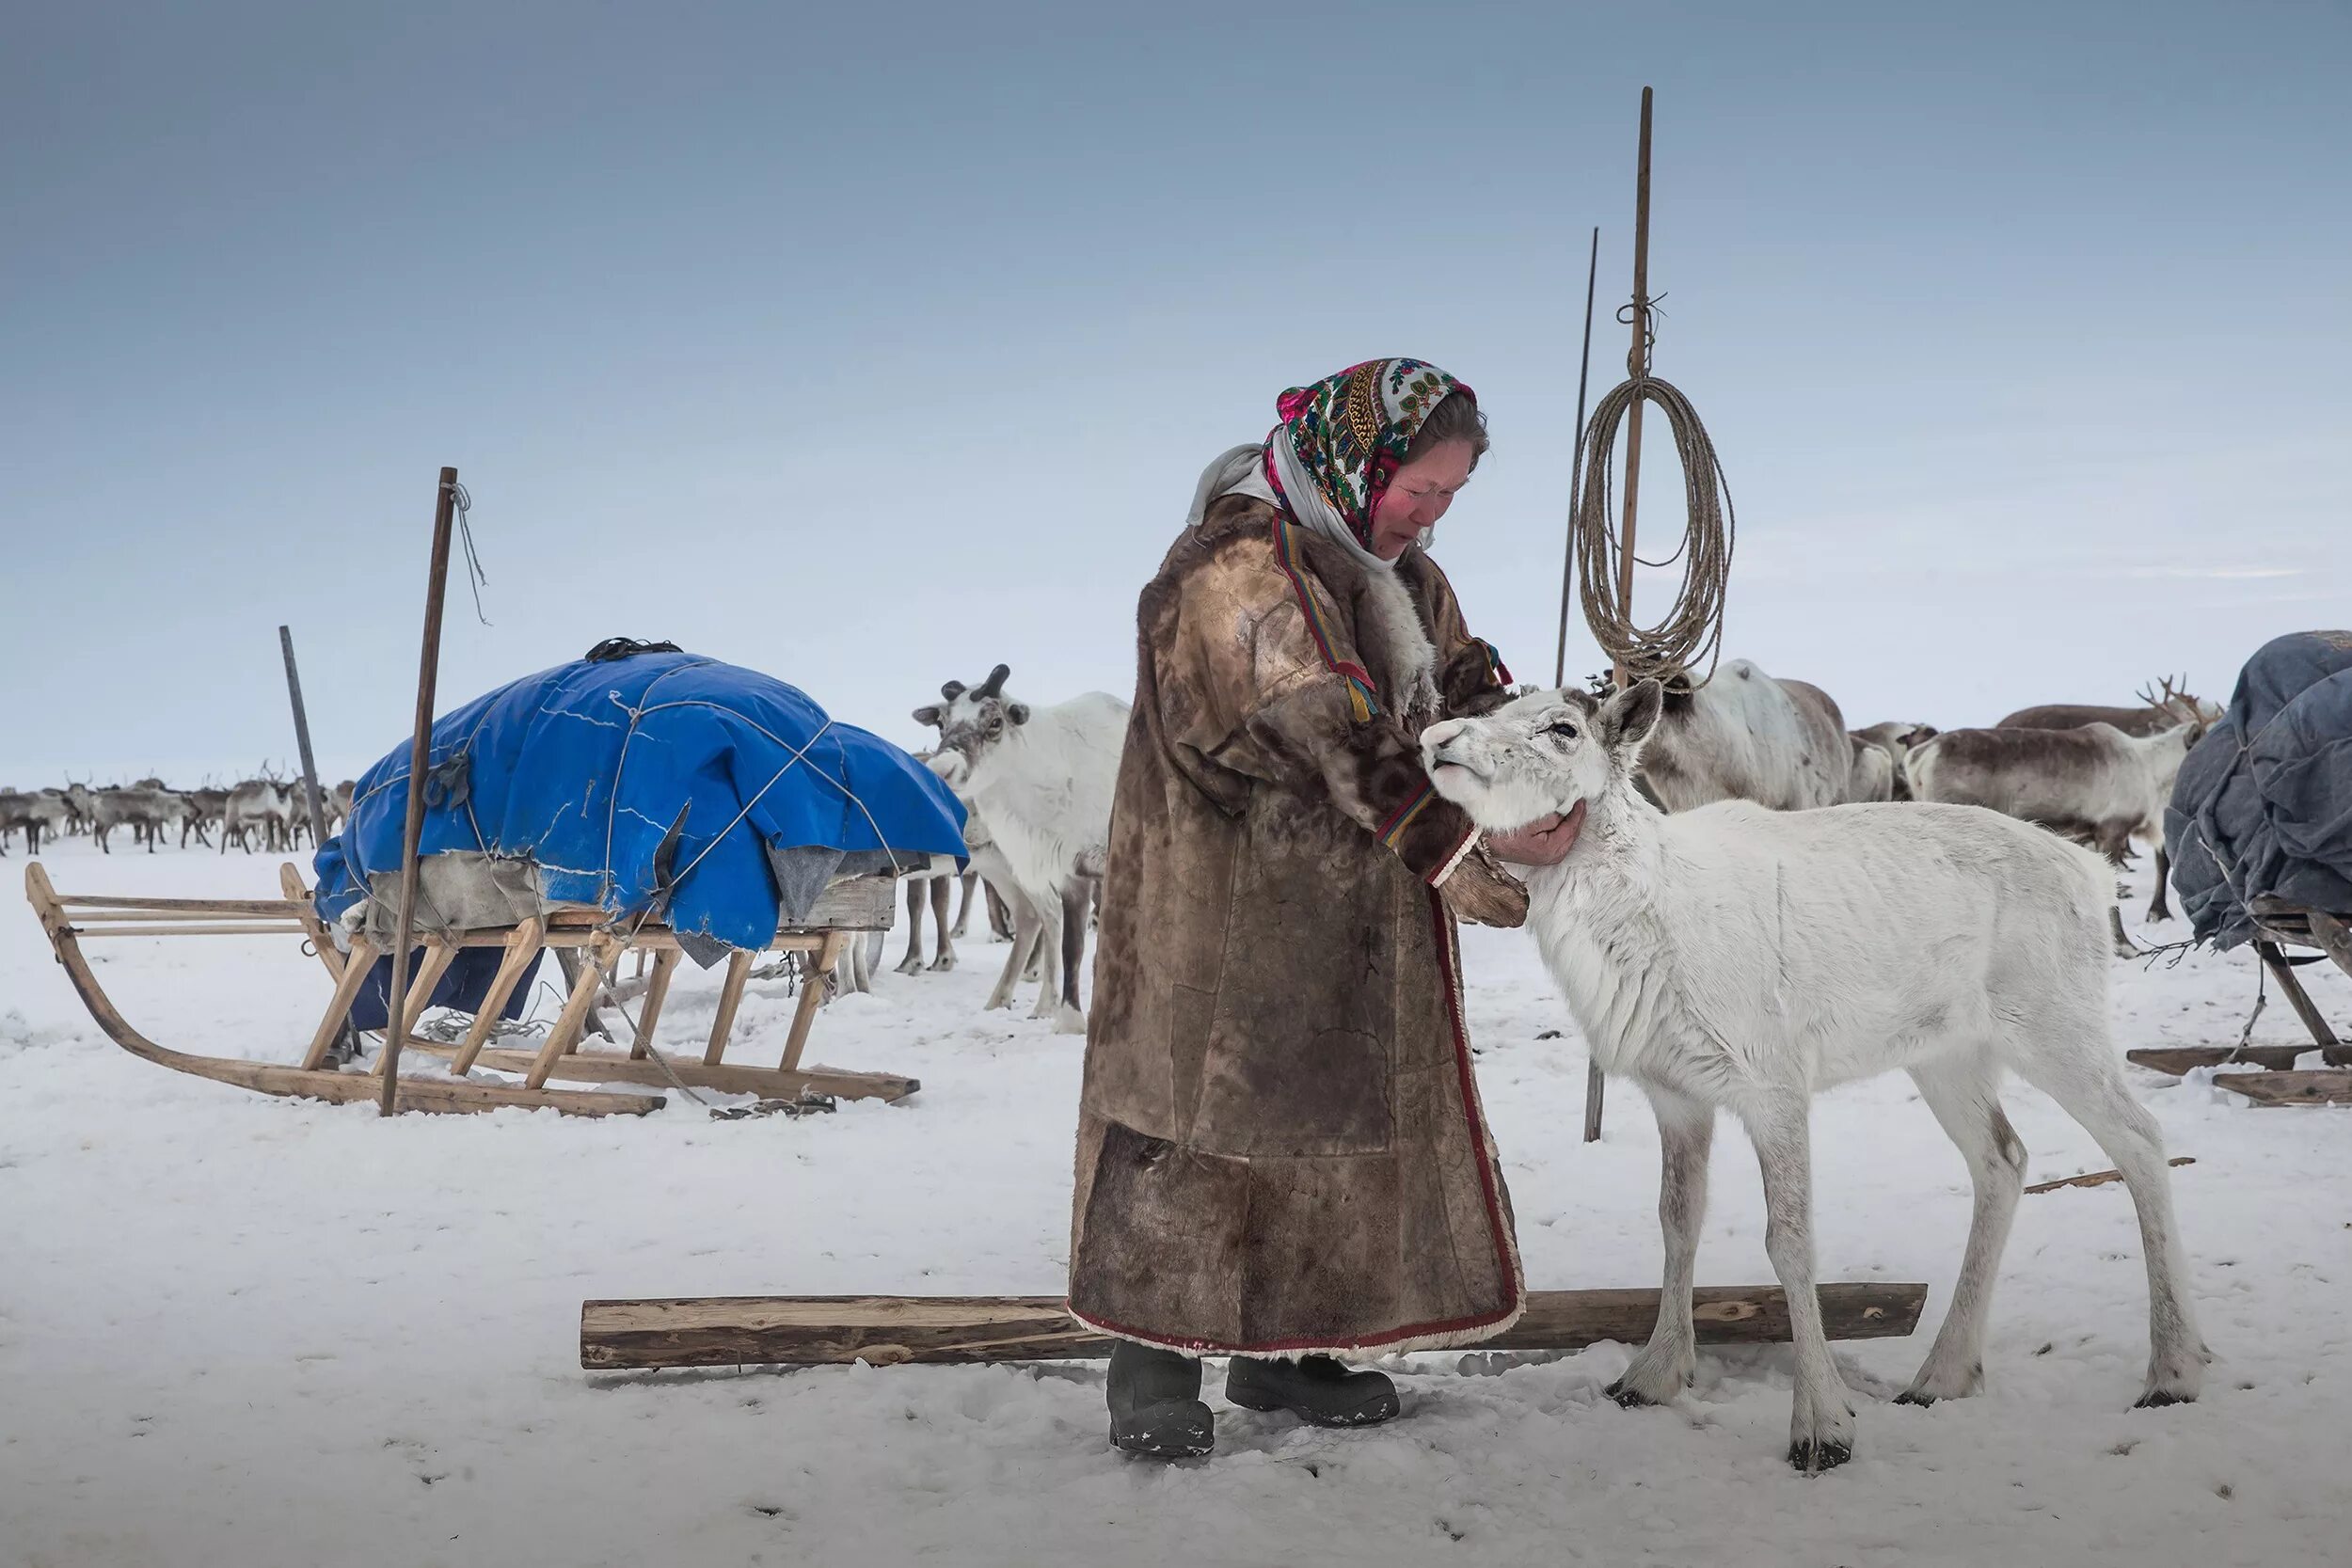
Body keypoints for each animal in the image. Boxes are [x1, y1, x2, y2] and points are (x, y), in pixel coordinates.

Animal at [1421, 681, 2211, 1476]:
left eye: (1562, 727)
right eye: (1491, 708)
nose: (1435, 738)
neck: (1632, 928)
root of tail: (2090, 874)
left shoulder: (1773, 1081)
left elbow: (1790, 1240)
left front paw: (1823, 1425)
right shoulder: (1675, 1090)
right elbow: (1677, 1220)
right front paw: (1653, 1373)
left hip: (2055, 1021)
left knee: (2141, 1139)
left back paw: (2174, 1367)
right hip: (1946, 1052)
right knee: (2003, 1158)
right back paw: (1944, 1372)